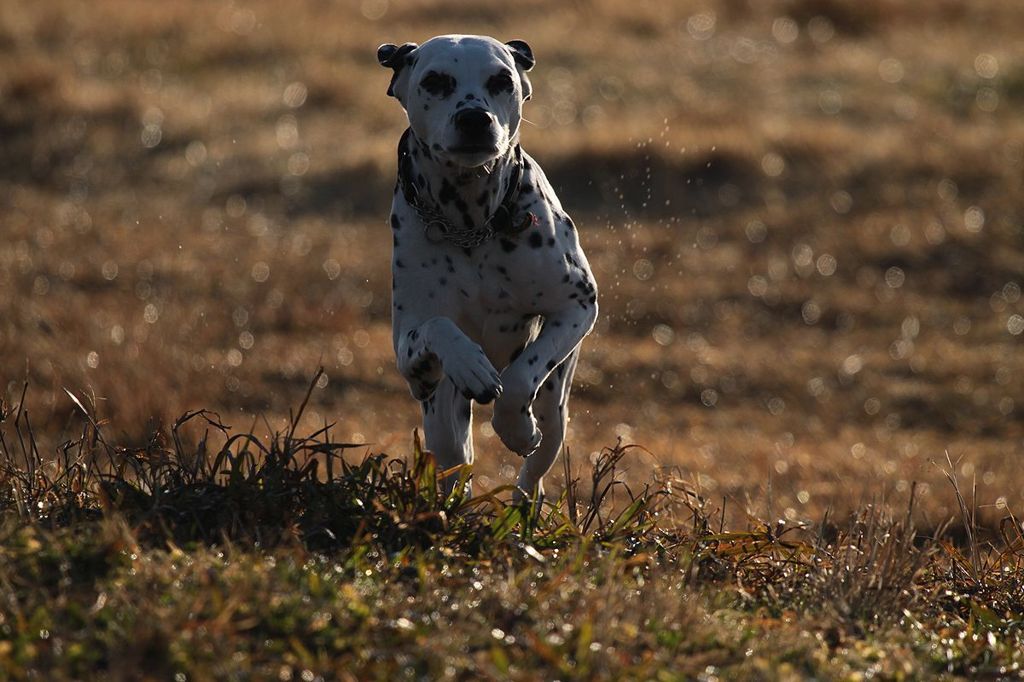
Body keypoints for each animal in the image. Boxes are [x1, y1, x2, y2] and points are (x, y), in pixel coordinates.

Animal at [380, 33, 598, 499]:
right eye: (435, 80)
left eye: (502, 80)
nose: (474, 117)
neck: (471, 223)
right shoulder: (410, 354)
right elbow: (437, 327)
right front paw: (469, 363)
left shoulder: (577, 305)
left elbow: (519, 380)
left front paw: (514, 428)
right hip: (443, 427)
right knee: (454, 462)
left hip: (556, 407)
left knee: (534, 470)